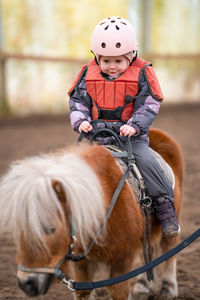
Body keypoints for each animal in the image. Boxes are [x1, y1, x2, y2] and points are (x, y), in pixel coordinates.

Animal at [0, 127, 183, 298]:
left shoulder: (122, 257)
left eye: (50, 228)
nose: (26, 284)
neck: (105, 198)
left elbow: (118, 291)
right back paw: (142, 287)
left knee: (169, 245)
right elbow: (83, 291)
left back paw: (168, 288)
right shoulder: (82, 261)